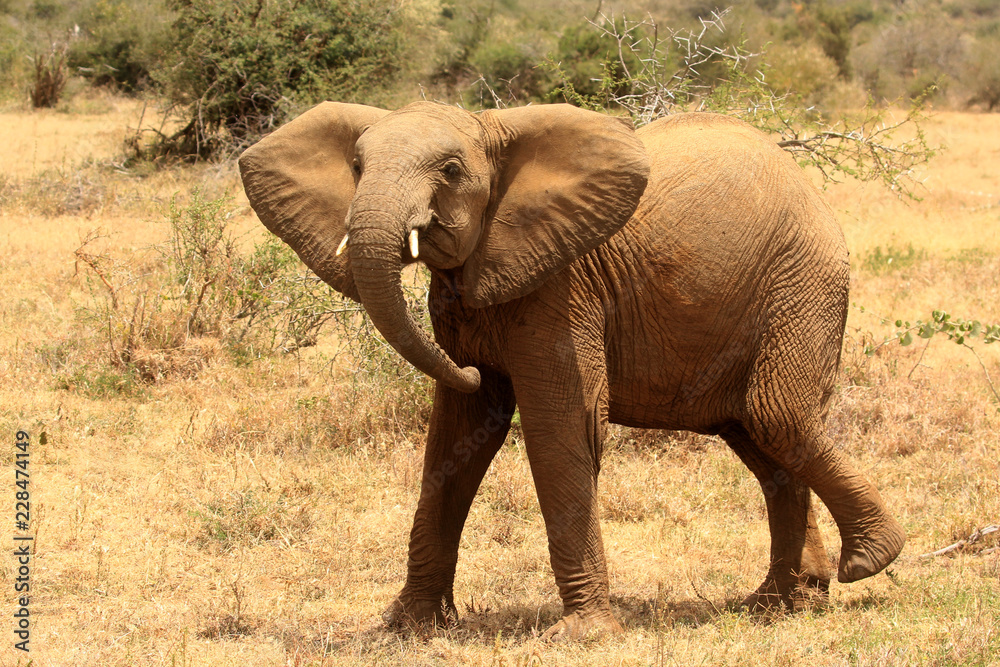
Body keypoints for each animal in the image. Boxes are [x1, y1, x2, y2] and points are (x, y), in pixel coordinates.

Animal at [238, 100, 905, 640]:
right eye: (356, 164)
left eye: (451, 170)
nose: (473, 370)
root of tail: (809, 187)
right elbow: (455, 439)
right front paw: (408, 627)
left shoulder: (560, 289)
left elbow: (560, 428)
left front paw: (583, 635)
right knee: (760, 439)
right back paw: (779, 603)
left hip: (803, 286)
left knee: (778, 416)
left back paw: (868, 561)